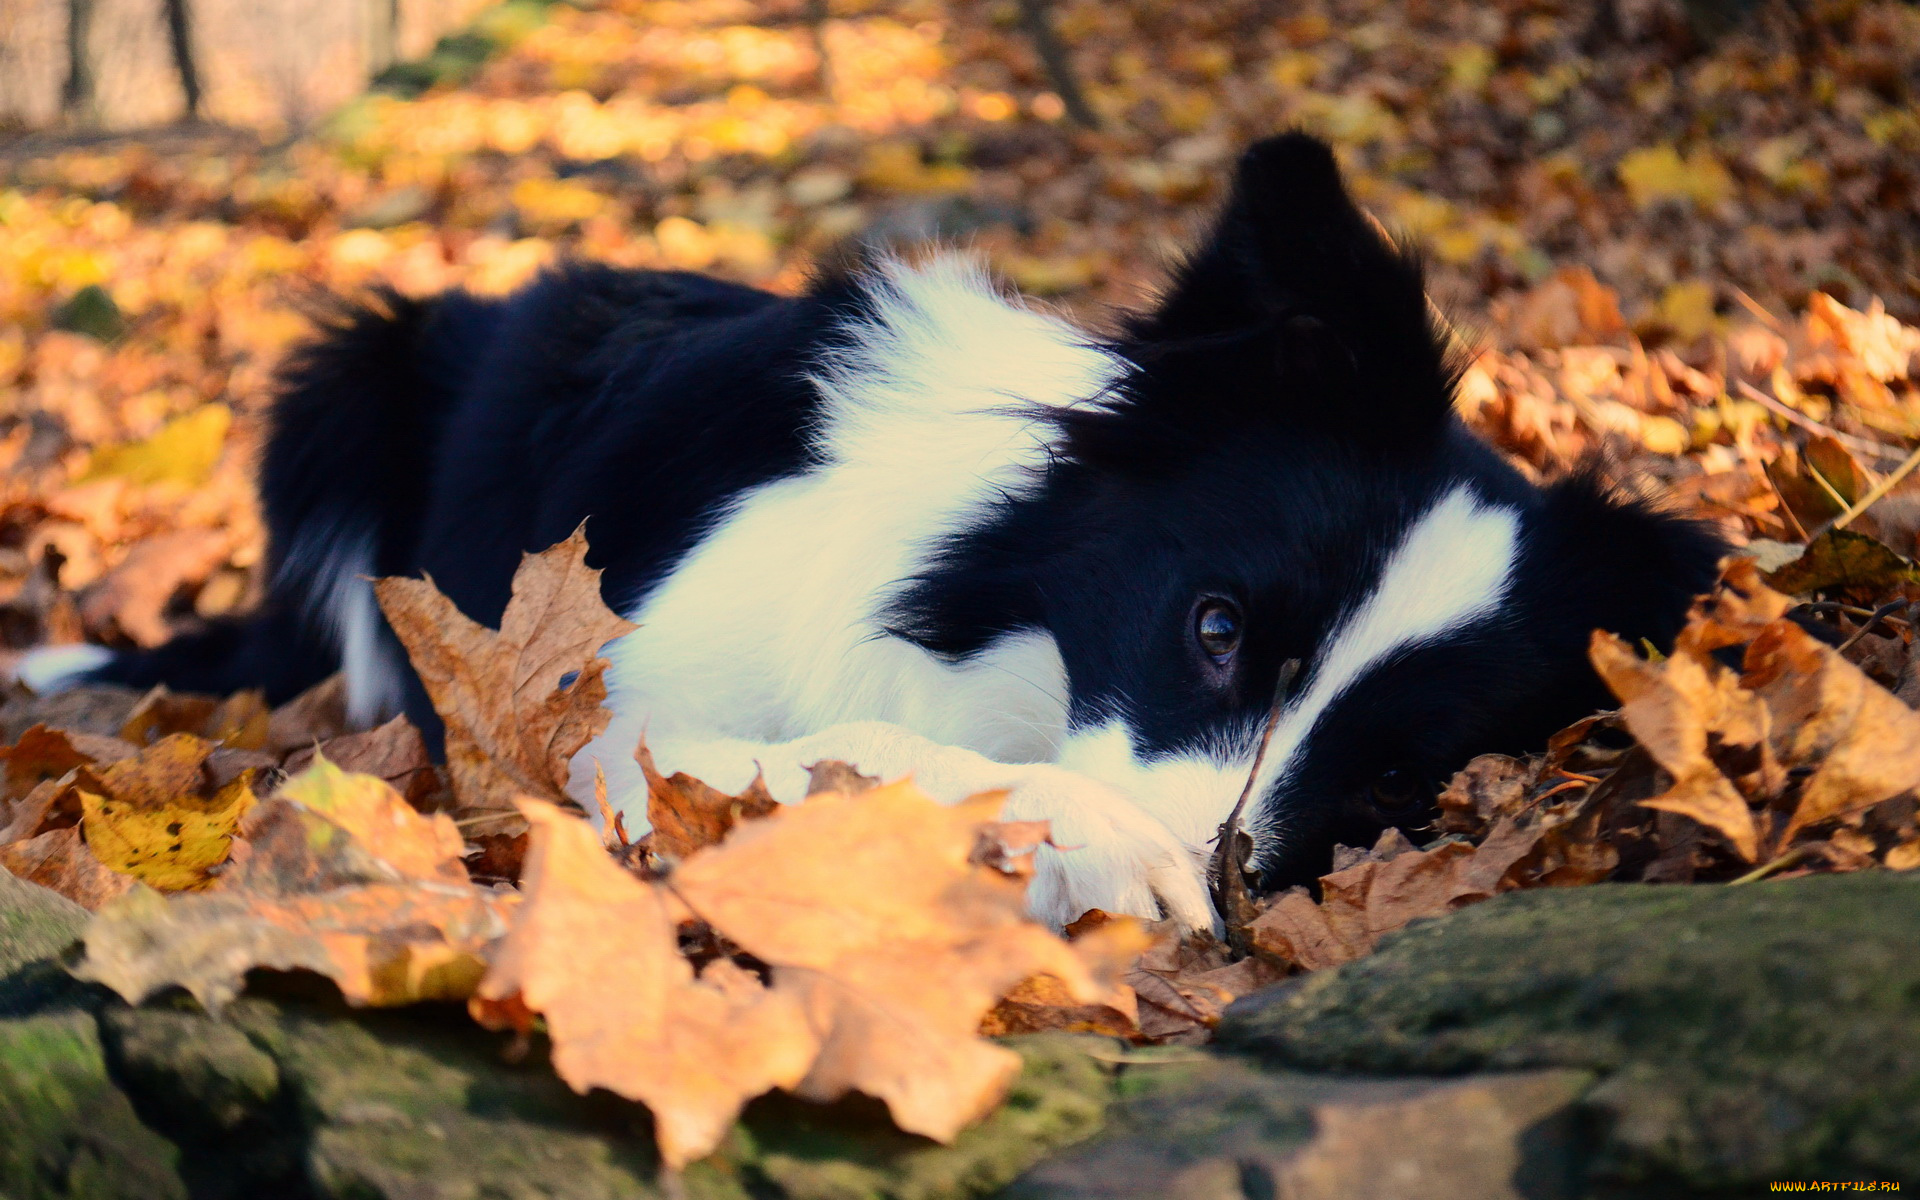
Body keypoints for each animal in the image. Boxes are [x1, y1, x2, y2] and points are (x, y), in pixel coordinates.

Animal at [18, 135, 1728, 933]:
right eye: (1217, 629)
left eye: (1385, 780)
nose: (1217, 901)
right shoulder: (588, 722)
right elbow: (850, 752)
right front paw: (1094, 841)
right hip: (341, 378)